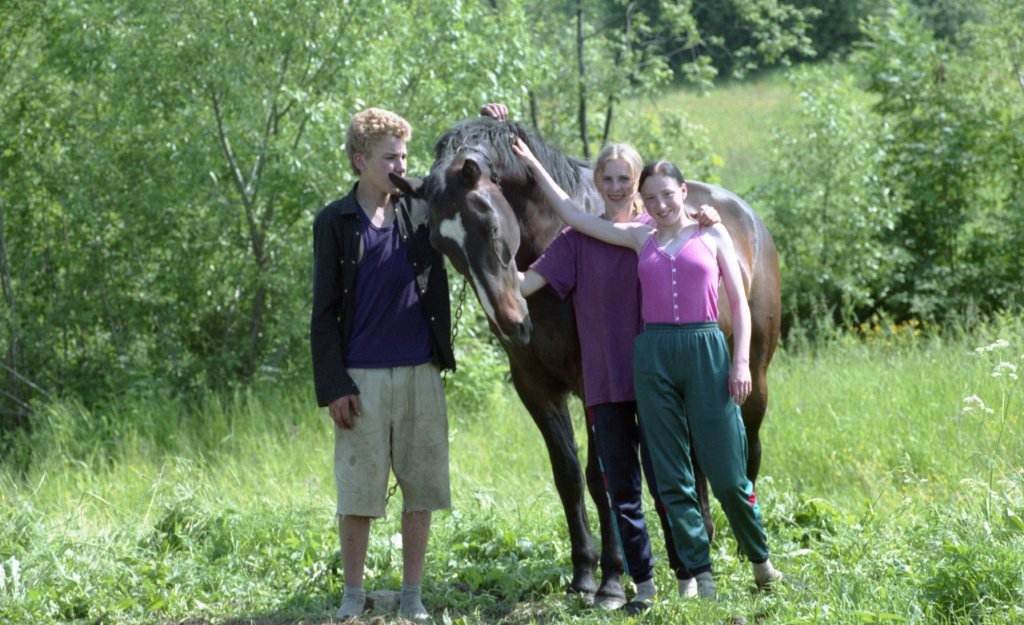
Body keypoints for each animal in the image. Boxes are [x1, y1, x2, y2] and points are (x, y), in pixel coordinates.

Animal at [393, 116, 781, 606]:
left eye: (491, 226)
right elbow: (569, 477)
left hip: (752, 378)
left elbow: (603, 480)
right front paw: (583, 573)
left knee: (749, 448)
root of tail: (747, 217)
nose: (511, 322)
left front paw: (613, 580)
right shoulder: (536, 388)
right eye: (445, 247)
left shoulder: (597, 384)